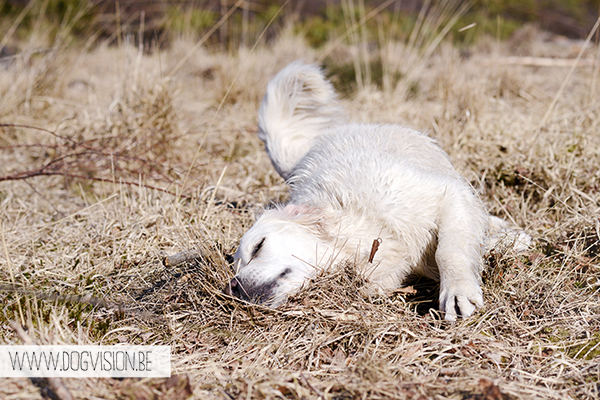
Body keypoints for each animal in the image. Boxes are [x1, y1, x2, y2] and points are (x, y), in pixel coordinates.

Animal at [223, 60, 528, 322]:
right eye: (235, 266)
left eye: (258, 247)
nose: (233, 288)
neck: (359, 222)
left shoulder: (445, 193)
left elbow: (450, 249)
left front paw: (458, 290)